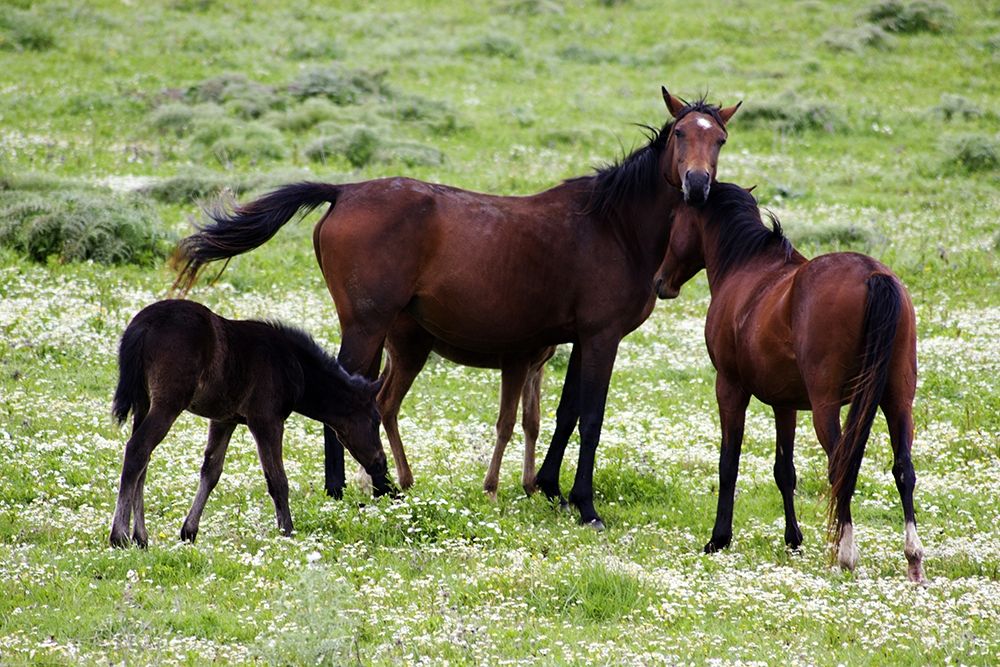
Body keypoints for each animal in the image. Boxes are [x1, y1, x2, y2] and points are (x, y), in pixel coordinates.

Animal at [108, 299, 392, 548]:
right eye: (375, 419)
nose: (380, 462)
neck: (292, 364)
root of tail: (141, 326)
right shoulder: (266, 420)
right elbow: (278, 479)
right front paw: (287, 531)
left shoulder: (223, 419)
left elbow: (211, 471)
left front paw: (189, 531)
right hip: (168, 403)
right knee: (137, 449)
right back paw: (119, 536)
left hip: (144, 402)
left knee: (143, 461)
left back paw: (141, 537)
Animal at [173, 87, 741, 528]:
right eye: (680, 134)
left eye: (720, 139)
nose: (697, 185)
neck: (612, 225)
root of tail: (345, 191)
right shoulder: (602, 337)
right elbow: (592, 416)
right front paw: (585, 505)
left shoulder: (577, 339)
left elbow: (564, 414)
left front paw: (551, 489)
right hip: (367, 324)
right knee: (345, 390)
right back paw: (349, 487)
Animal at [654, 182, 925, 582]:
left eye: (674, 219)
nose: (660, 281)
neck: (747, 267)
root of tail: (872, 274)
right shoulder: (785, 403)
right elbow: (785, 471)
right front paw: (793, 539)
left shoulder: (730, 388)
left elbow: (728, 463)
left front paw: (719, 538)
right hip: (898, 399)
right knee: (903, 468)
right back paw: (913, 558)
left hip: (827, 406)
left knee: (842, 466)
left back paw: (846, 553)